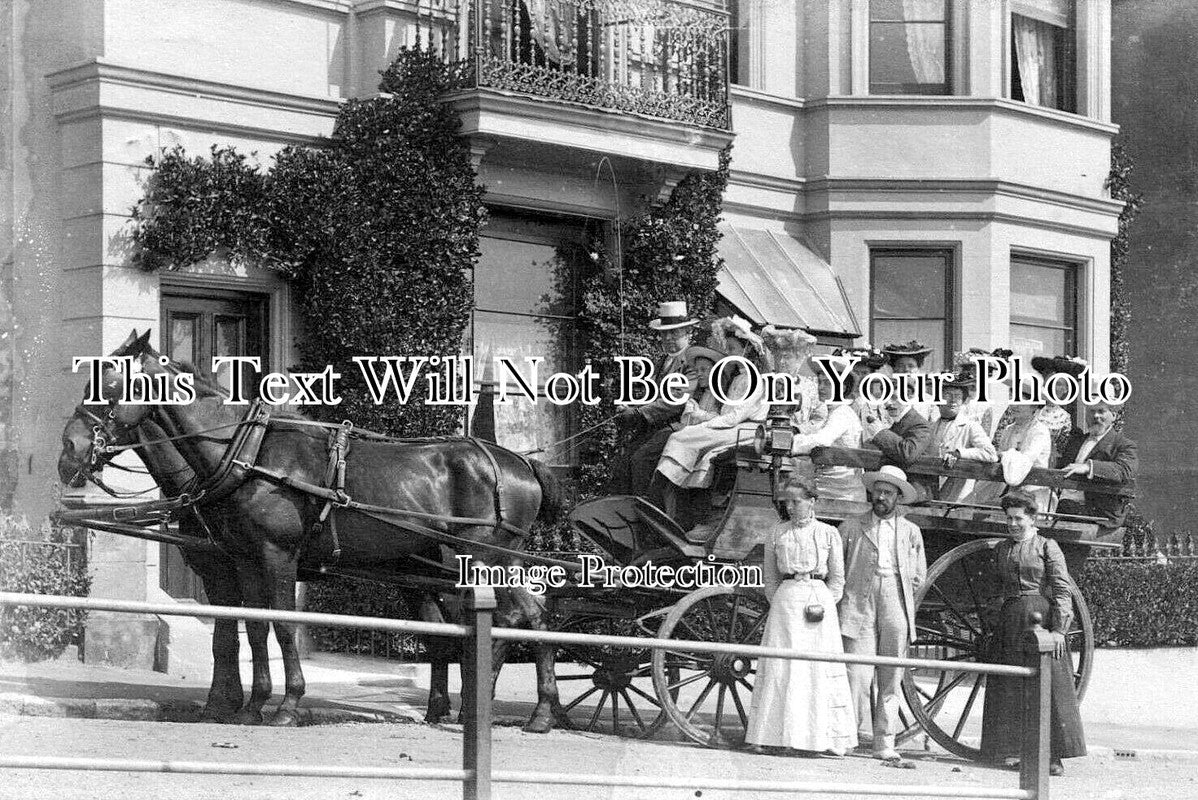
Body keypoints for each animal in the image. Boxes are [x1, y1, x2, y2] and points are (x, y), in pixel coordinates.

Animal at [60, 328, 570, 728]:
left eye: (107, 383)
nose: (69, 449)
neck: (246, 454)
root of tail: (519, 461)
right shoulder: (242, 560)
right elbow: (250, 630)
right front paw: (247, 705)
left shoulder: (273, 557)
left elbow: (283, 627)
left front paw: (285, 704)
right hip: (444, 568)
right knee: (511, 620)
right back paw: (517, 711)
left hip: (482, 559)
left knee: (511, 619)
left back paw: (500, 707)